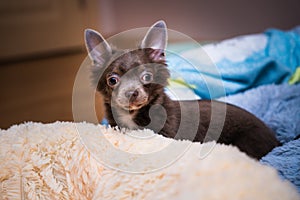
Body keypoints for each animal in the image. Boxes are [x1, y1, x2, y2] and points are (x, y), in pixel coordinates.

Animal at [84, 20, 278, 159]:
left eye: (146, 77)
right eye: (113, 80)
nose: (131, 92)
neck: (132, 116)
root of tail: (276, 139)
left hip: (247, 143)